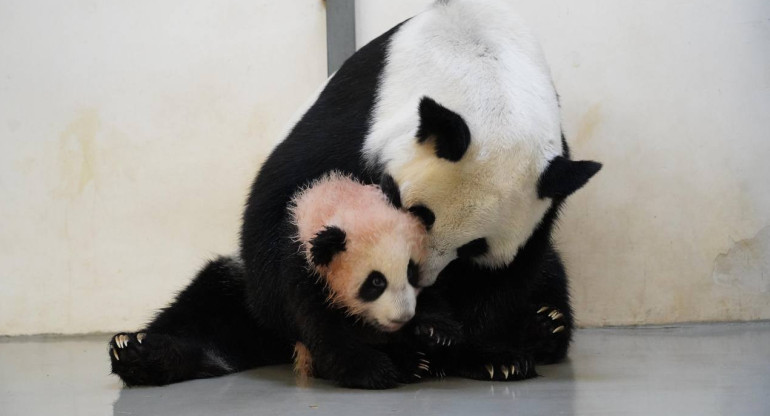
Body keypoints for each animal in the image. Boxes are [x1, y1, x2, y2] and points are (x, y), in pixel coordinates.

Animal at [109, 0, 600, 384]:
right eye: (418, 213)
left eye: (474, 247)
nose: (422, 283)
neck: (480, 57)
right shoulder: (360, 114)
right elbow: (283, 223)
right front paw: (382, 350)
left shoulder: (548, 182)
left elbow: (511, 271)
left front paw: (485, 353)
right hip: (235, 292)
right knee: (217, 302)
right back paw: (144, 353)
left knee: (550, 278)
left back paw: (542, 328)